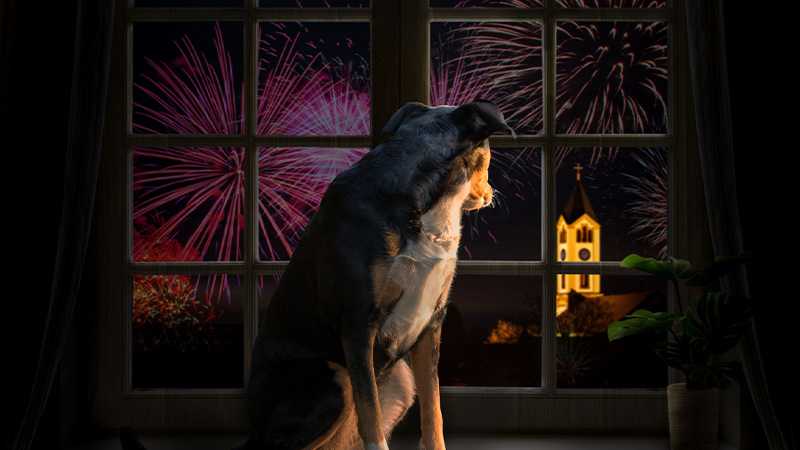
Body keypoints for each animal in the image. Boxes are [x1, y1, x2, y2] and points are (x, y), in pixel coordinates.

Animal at [122, 101, 516, 450]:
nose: (493, 192)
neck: (426, 201)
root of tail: (254, 432)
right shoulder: (357, 323)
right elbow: (371, 417)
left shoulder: (430, 323)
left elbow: (433, 414)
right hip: (333, 375)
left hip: (400, 379)